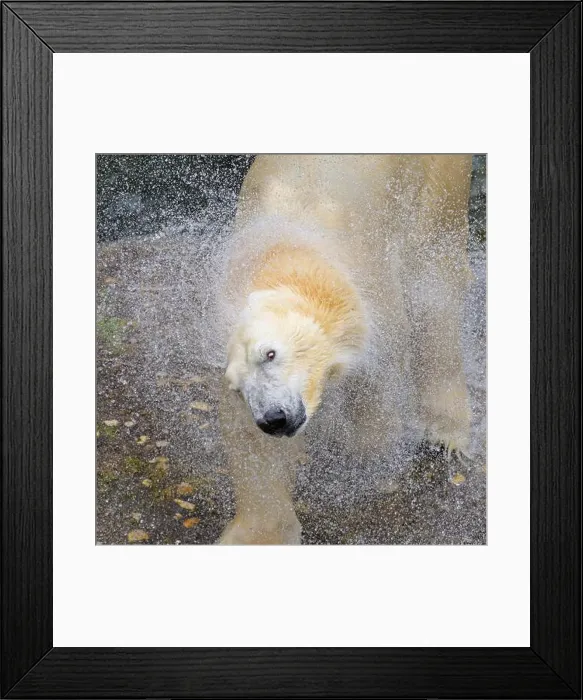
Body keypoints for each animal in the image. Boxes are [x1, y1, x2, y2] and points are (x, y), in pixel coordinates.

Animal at [217, 154, 473, 545]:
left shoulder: (370, 281)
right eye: (238, 386)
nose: (273, 419)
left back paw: (447, 432)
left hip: (438, 180)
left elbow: (377, 374)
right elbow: (251, 443)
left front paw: (368, 455)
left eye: (270, 354)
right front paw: (259, 533)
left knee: (434, 281)